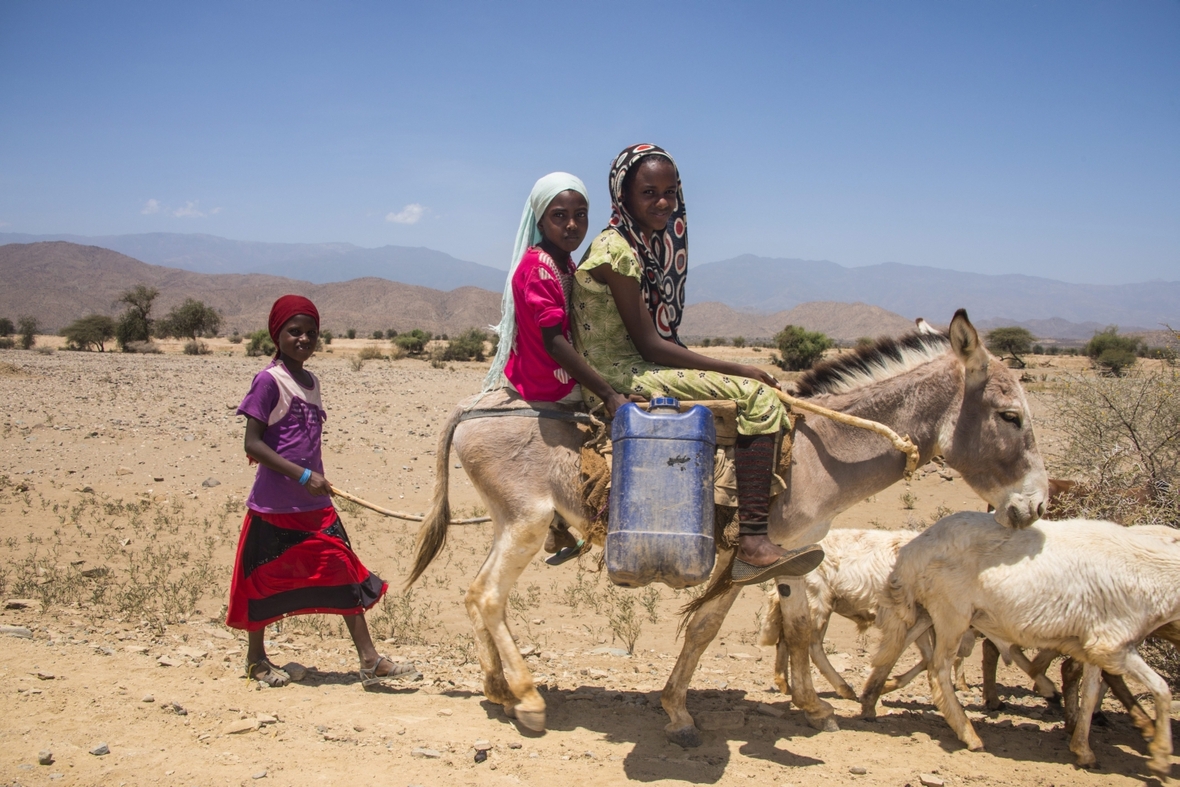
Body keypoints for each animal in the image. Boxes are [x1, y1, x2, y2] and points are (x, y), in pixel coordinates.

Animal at [859, 514, 1180, 778]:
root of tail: (913, 549)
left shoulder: (1096, 644)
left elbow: (1090, 695)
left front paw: (1083, 750)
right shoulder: (1113, 645)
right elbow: (1161, 687)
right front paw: (1160, 757)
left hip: (928, 612)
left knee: (896, 648)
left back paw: (871, 700)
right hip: (952, 613)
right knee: (937, 672)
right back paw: (970, 734)